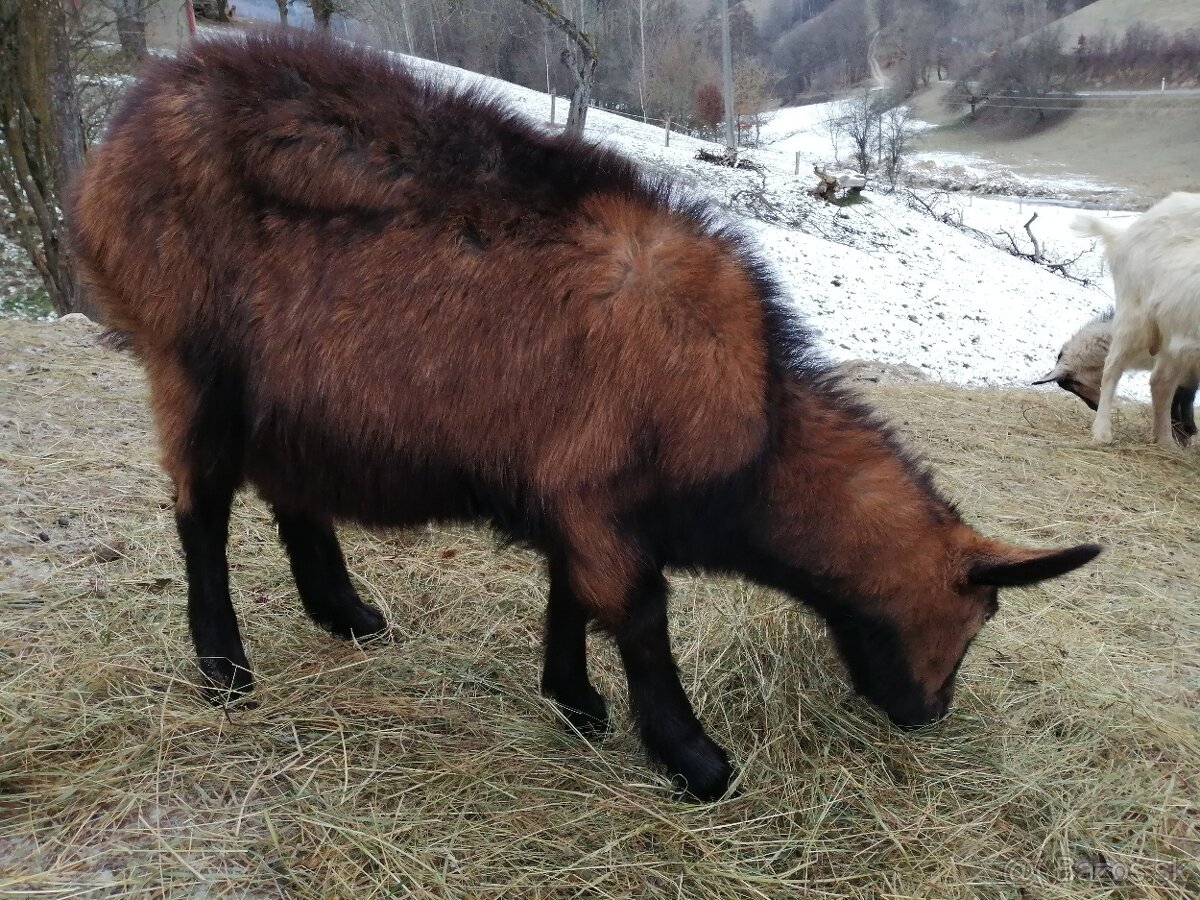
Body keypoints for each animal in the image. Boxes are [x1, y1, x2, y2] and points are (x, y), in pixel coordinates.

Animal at [70, 31, 1099, 801]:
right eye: (978, 620)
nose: (928, 716)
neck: (757, 433)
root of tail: (116, 140)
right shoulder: (603, 500)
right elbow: (639, 620)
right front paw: (695, 761)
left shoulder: (573, 496)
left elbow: (569, 596)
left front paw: (573, 701)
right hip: (193, 363)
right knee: (200, 508)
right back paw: (224, 668)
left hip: (297, 390)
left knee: (290, 485)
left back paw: (344, 612)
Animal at [1070, 195, 1200, 451]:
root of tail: (1122, 237)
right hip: (1135, 317)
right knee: (1112, 368)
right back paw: (1102, 433)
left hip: (1175, 335)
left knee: (1161, 382)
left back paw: (1165, 442)